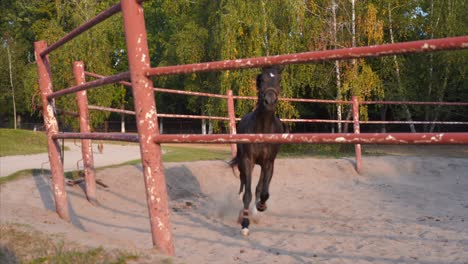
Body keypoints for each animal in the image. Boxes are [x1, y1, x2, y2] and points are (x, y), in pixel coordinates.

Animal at [229, 65, 286, 235]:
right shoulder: (248, 161)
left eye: (278, 80)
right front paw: (245, 224)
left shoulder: (268, 163)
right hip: (244, 164)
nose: (270, 101)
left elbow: (263, 191)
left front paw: (261, 206)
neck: (263, 129)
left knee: (259, 188)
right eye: (261, 80)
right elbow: (247, 194)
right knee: (243, 184)